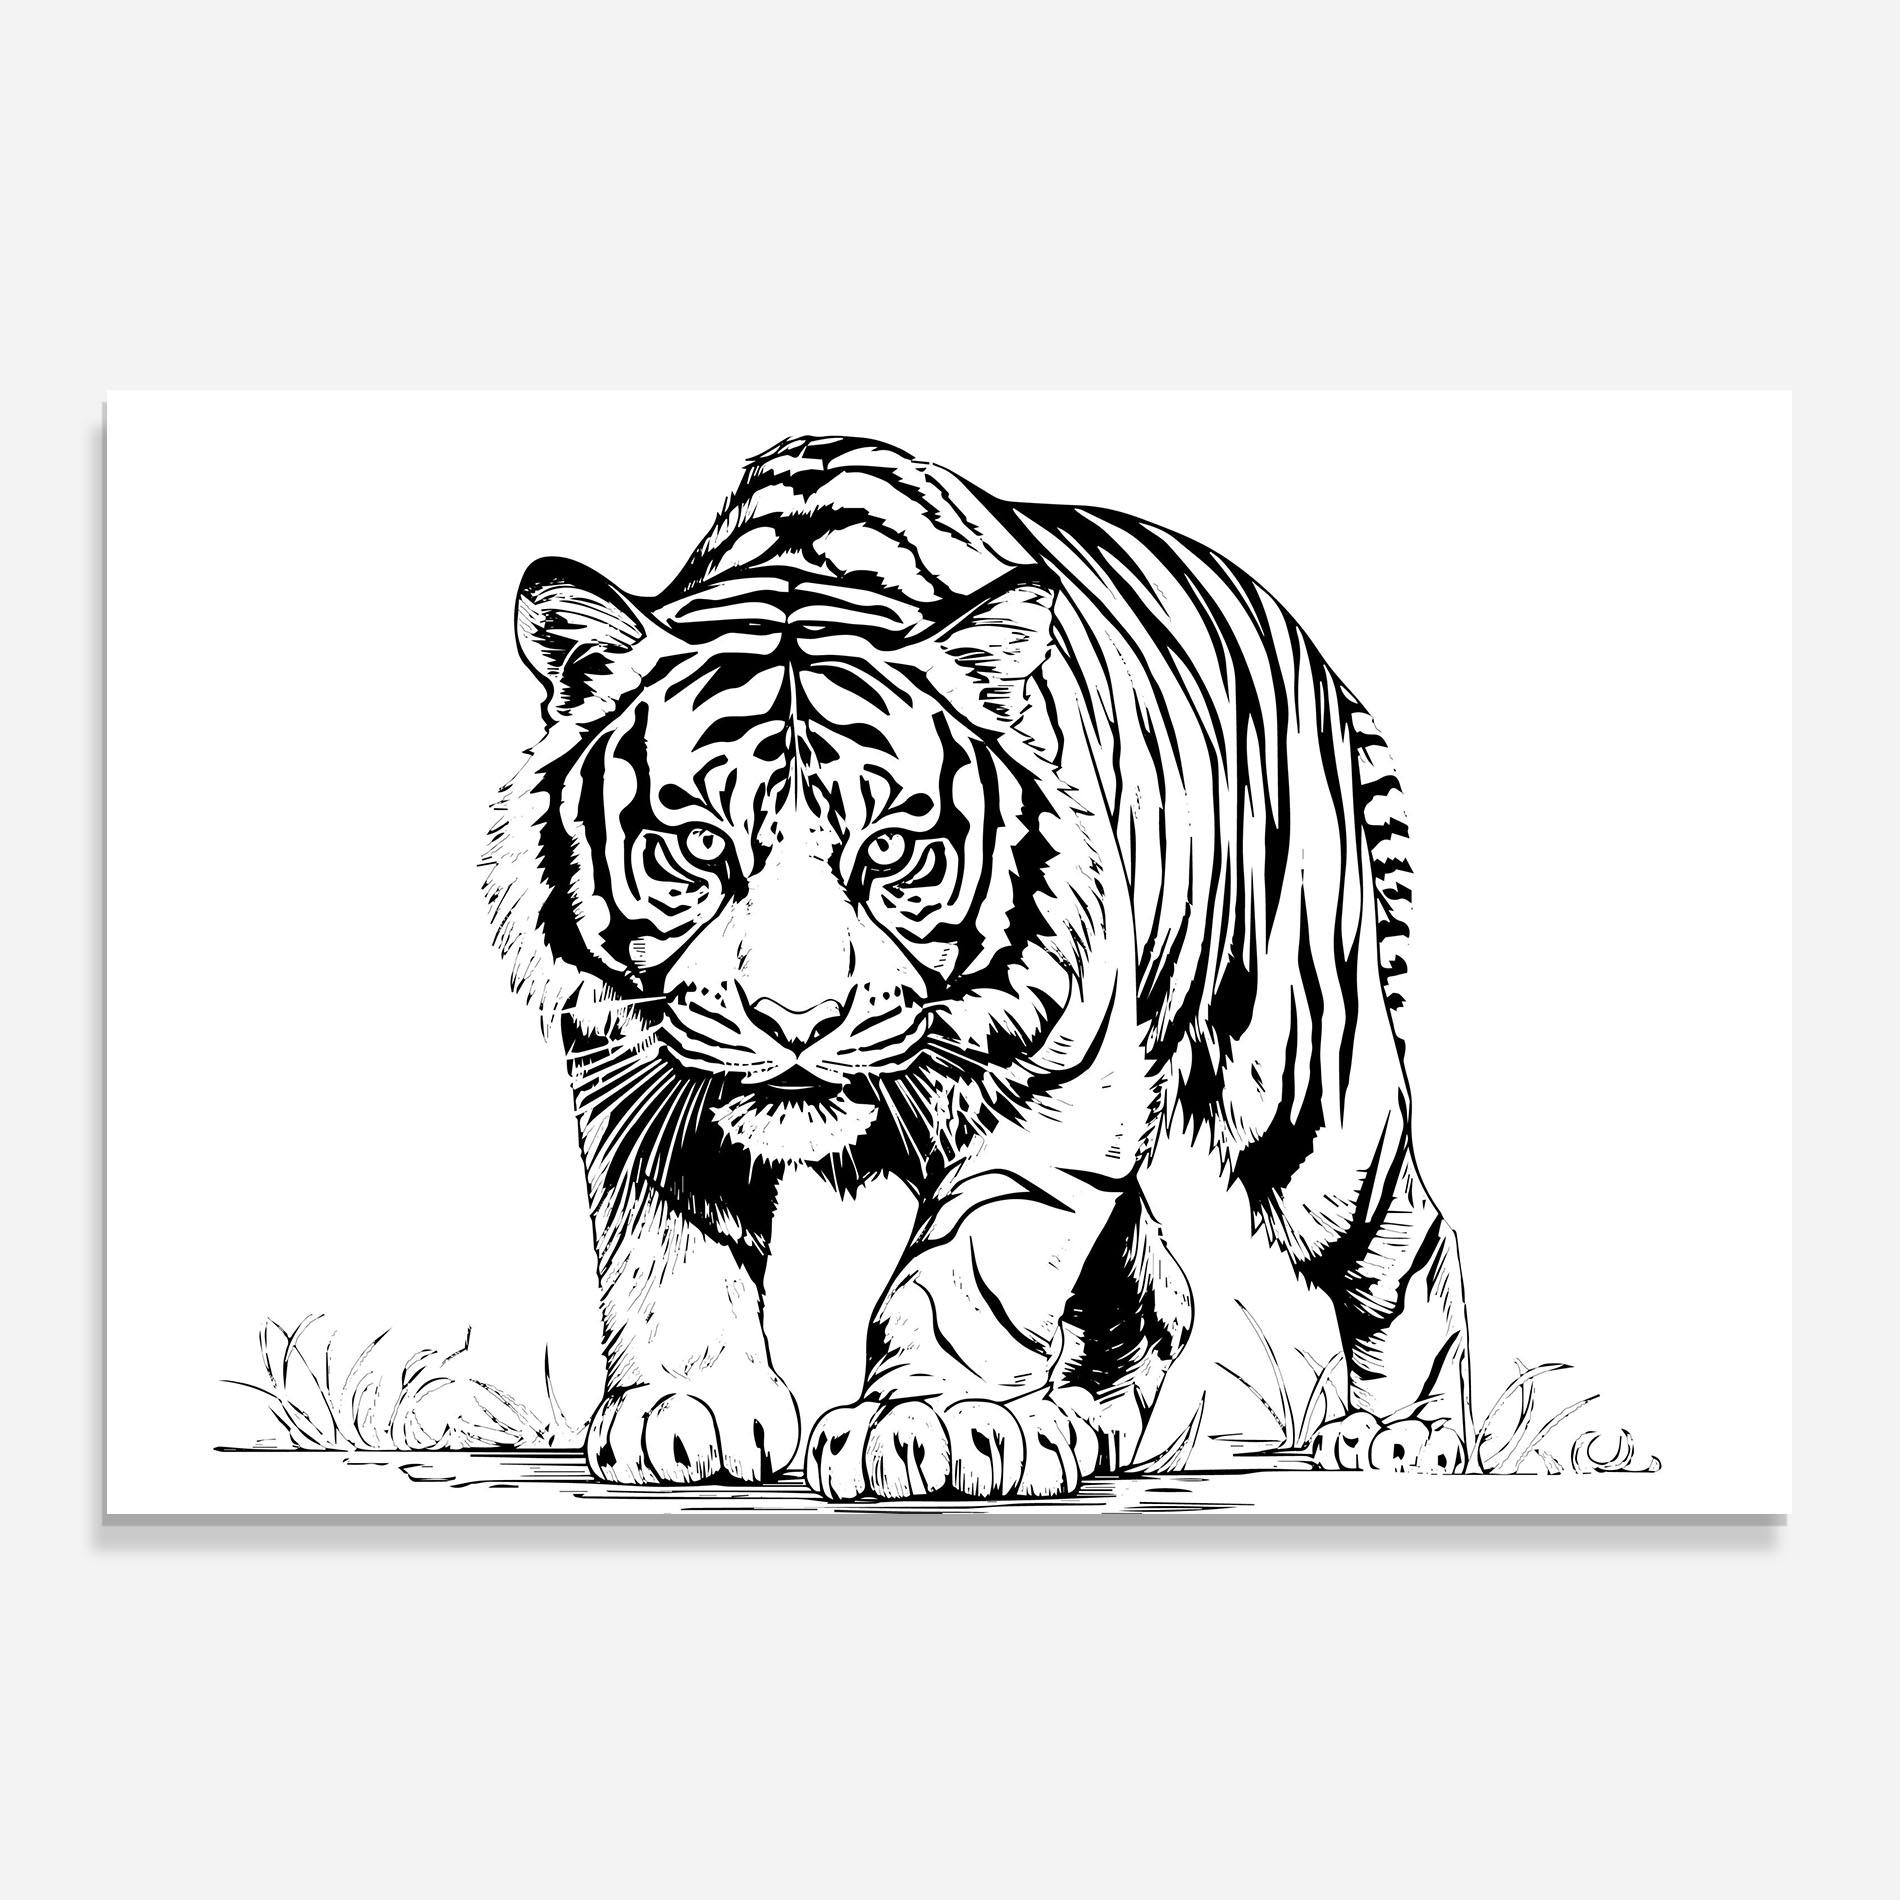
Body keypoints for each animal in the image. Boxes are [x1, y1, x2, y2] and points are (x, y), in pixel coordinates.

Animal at [482, 434, 1472, 1498]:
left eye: (888, 850)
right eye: (701, 846)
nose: (797, 1023)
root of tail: (1308, 650)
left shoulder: (1059, 1078)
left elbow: (974, 1263)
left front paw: (932, 1423)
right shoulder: (635, 1072)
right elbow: (664, 1247)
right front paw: (688, 1407)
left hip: (1299, 1074)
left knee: (1404, 1236)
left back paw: (1403, 1433)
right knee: (1159, 1289)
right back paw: (1078, 1423)